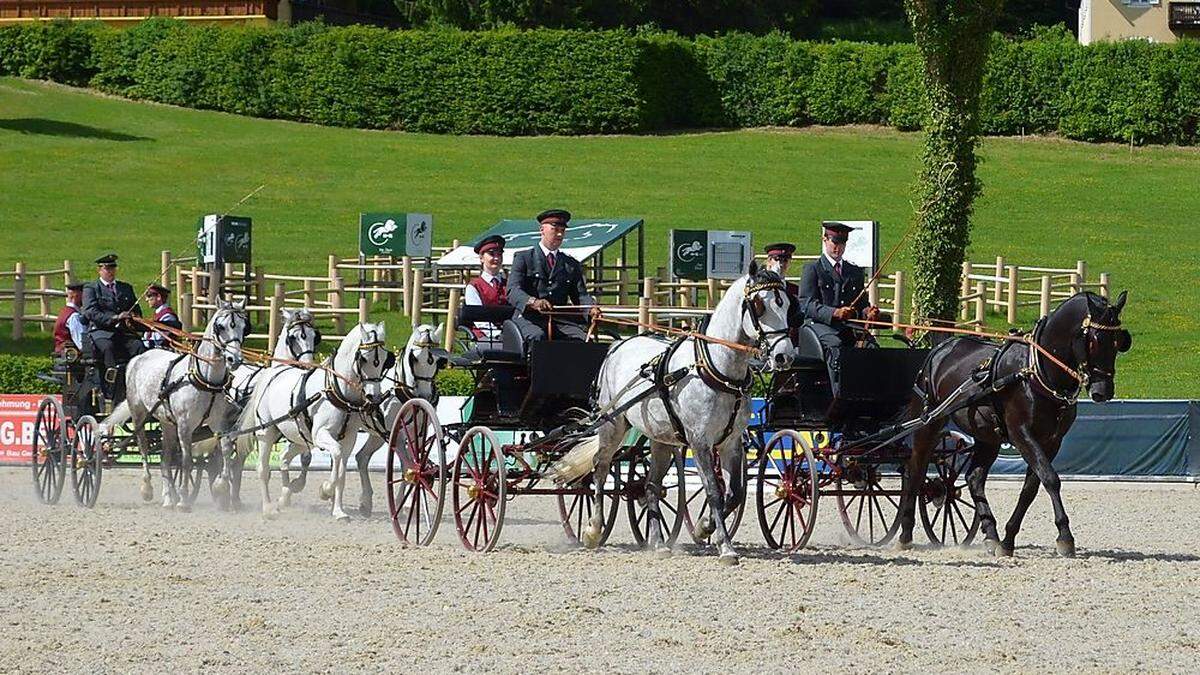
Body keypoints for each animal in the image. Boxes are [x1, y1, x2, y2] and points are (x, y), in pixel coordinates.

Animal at [113, 302, 247, 506]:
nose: (235, 359)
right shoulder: (184, 425)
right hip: (139, 415)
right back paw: (148, 488)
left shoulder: (218, 422)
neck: (206, 380)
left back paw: (169, 498)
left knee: (165, 458)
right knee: (143, 448)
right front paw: (184, 499)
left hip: (167, 422)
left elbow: (225, 449)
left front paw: (220, 487)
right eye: (220, 326)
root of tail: (138, 358)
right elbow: (187, 461)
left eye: (243, 326)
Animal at [238, 319, 393, 521]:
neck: (337, 391)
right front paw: (325, 490)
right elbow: (336, 456)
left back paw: (285, 495)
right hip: (267, 433)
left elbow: (341, 474)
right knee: (263, 469)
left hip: (300, 438)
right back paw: (268, 508)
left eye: (383, 359)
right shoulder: (321, 435)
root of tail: (273, 372)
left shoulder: (349, 439)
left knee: (284, 458)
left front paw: (339, 511)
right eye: (363, 358)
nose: (374, 397)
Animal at [585, 265, 792, 559]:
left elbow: (734, 494)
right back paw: (593, 529)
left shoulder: (730, 443)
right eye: (759, 305)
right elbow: (713, 491)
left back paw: (659, 543)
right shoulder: (699, 441)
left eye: (786, 305)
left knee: (651, 486)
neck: (716, 369)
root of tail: (618, 345)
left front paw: (704, 527)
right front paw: (725, 546)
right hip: (612, 425)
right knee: (600, 469)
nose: (784, 356)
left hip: (660, 439)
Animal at [892, 291, 1132, 554]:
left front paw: (1008, 538)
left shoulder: (1052, 441)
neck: (1035, 371)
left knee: (974, 478)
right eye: (1094, 341)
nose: (1103, 391)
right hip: (930, 423)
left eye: (1119, 341)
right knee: (916, 471)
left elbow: (1031, 488)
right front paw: (1065, 536)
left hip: (987, 435)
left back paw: (991, 534)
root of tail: (941, 348)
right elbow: (1051, 479)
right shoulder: (1021, 434)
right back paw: (905, 533)